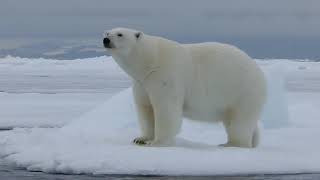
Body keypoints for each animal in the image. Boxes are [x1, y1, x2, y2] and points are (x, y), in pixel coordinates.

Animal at [104, 27, 266, 148]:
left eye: (119, 34)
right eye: (106, 32)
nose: (106, 40)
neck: (149, 60)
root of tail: (260, 74)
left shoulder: (164, 75)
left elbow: (165, 109)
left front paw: (157, 142)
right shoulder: (142, 83)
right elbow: (145, 108)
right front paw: (141, 138)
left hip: (242, 90)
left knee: (239, 122)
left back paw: (232, 144)